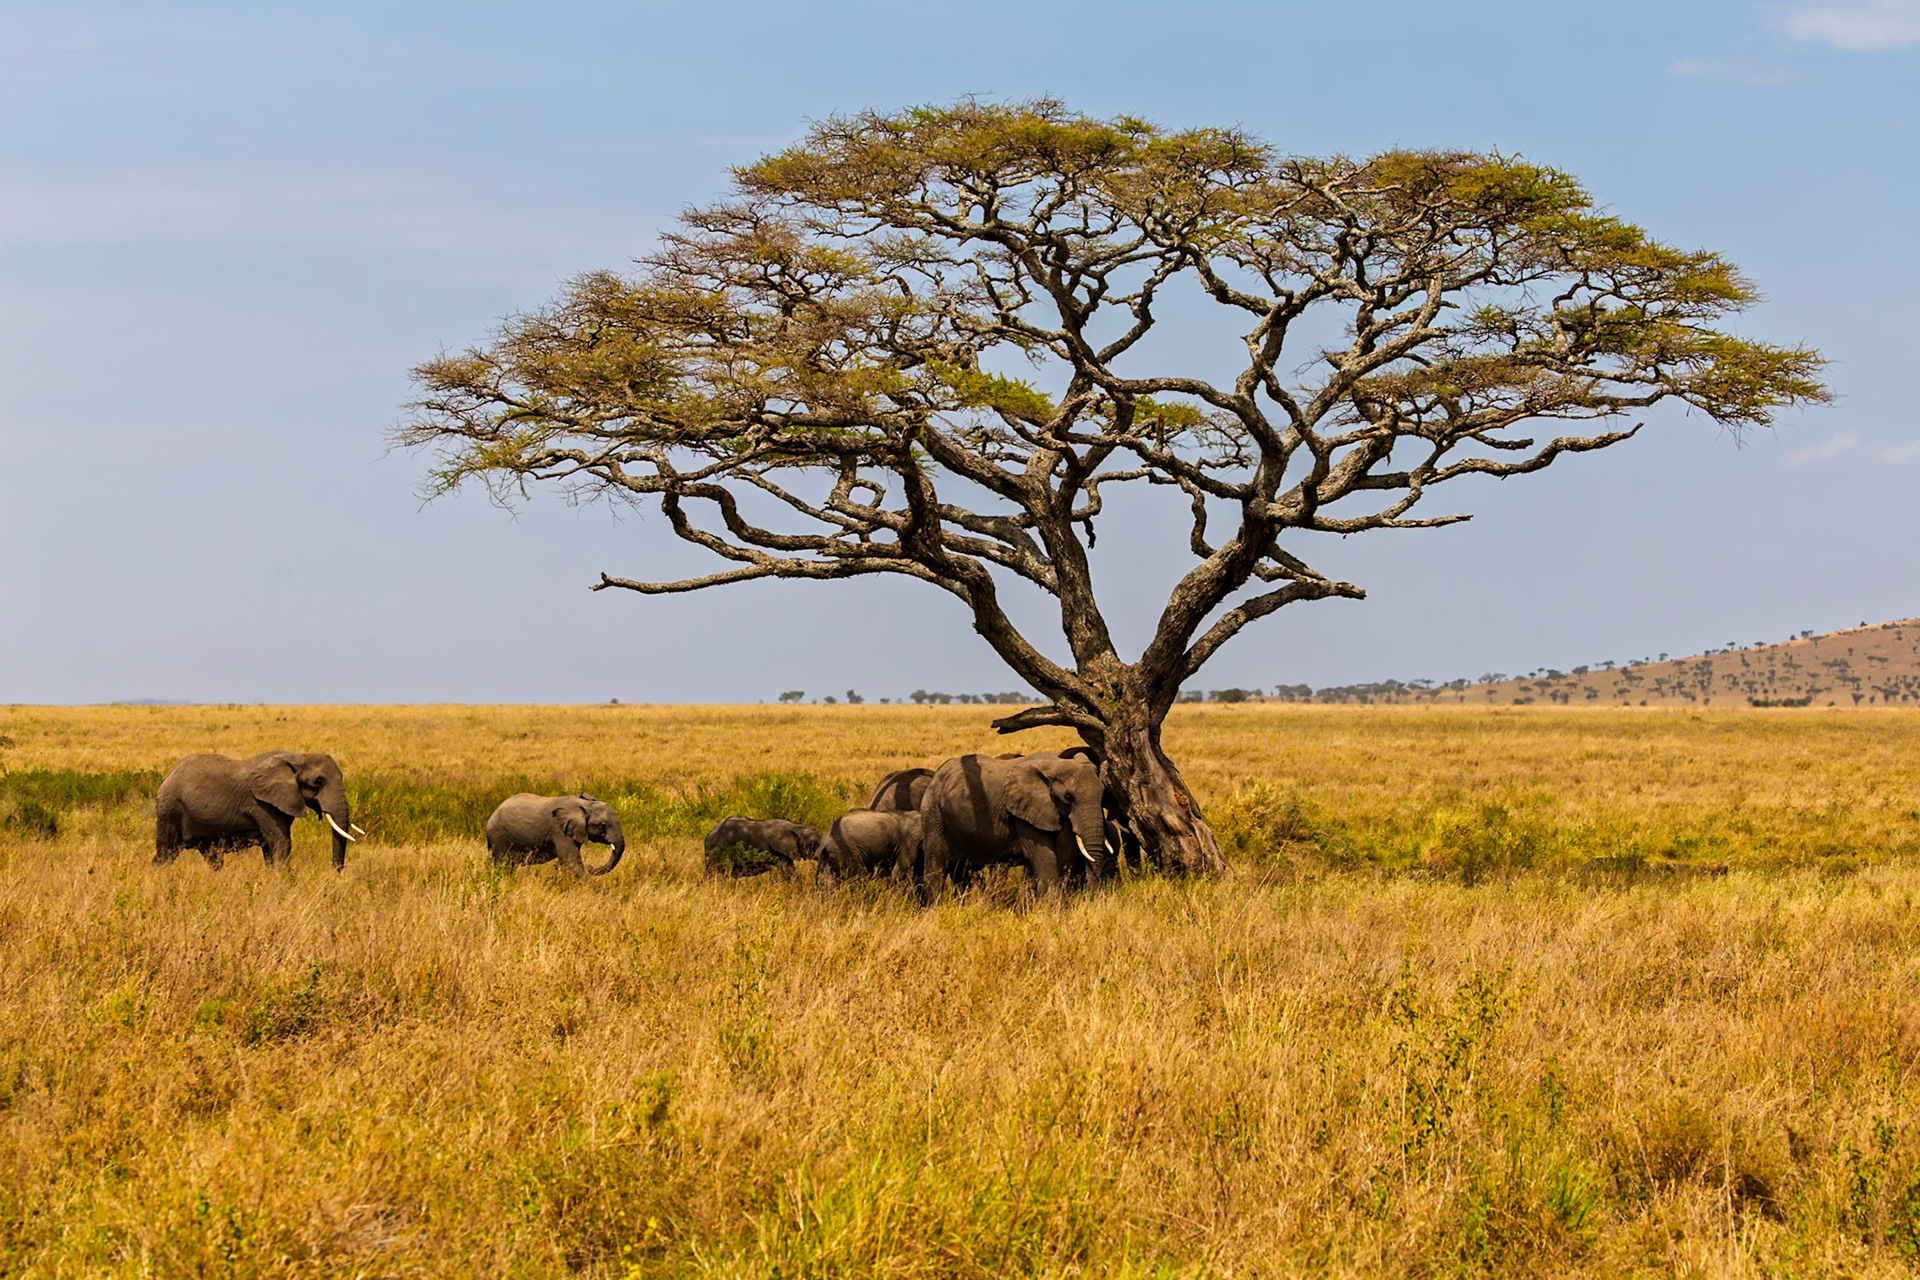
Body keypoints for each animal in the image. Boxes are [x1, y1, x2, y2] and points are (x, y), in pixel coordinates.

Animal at [154, 751, 360, 871]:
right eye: (318, 781)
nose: (335, 872)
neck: (297, 757)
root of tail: (166, 778)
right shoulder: (261, 804)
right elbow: (281, 842)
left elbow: (271, 847)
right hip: (169, 809)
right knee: (166, 853)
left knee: (212, 857)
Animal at [485, 794, 626, 878]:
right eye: (603, 825)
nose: (590, 867)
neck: (584, 804)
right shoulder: (559, 830)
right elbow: (570, 861)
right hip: (499, 835)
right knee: (503, 863)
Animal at [917, 753, 1107, 902]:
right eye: (1068, 797)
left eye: (1102, 794)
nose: (1090, 898)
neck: (1054, 764)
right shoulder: (1022, 812)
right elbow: (1044, 857)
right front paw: (1052, 913)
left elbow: (1065, 855)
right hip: (933, 812)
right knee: (936, 864)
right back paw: (936, 910)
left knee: (960, 871)